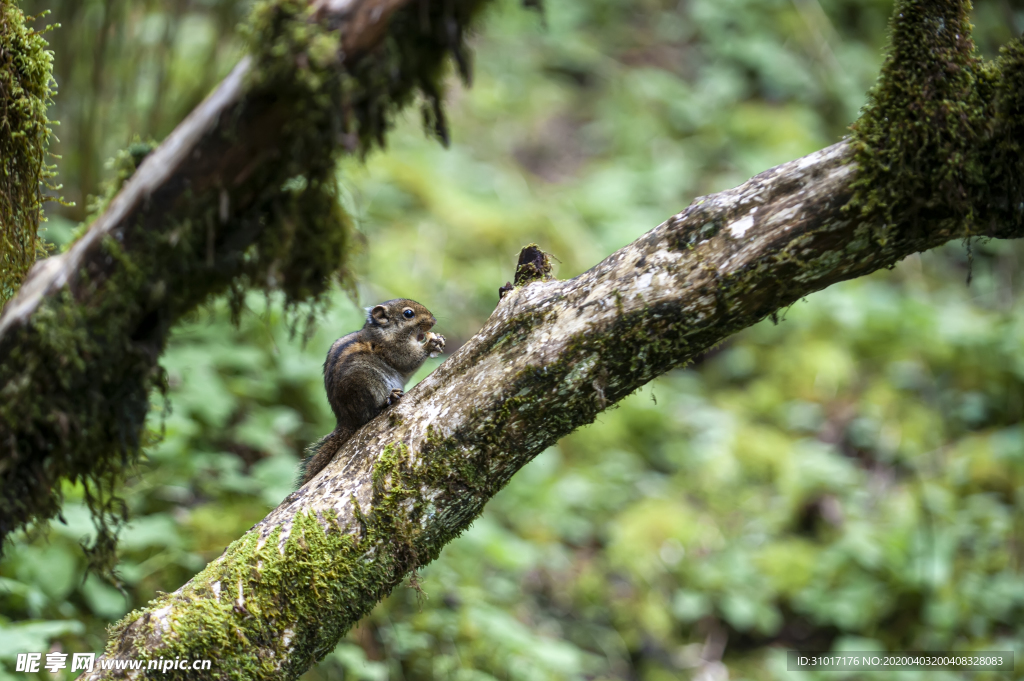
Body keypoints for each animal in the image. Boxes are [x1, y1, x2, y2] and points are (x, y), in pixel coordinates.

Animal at [294, 296, 442, 483]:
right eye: (408, 313)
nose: (434, 321)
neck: (384, 332)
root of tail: (347, 420)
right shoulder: (394, 349)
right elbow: (409, 361)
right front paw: (430, 344)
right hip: (367, 387)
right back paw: (388, 399)